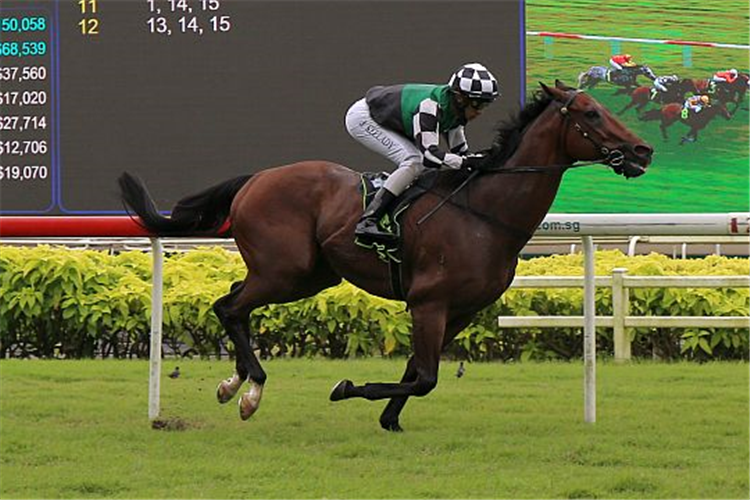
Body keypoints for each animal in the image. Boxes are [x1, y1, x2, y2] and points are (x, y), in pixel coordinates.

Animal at [117, 80, 652, 432]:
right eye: (591, 114)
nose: (642, 151)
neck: (484, 213)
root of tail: (256, 178)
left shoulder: (461, 309)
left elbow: (416, 371)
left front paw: (389, 418)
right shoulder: (429, 302)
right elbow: (426, 378)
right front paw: (349, 389)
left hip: (310, 276)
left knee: (234, 301)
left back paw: (235, 383)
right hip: (285, 271)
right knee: (227, 306)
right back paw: (251, 389)